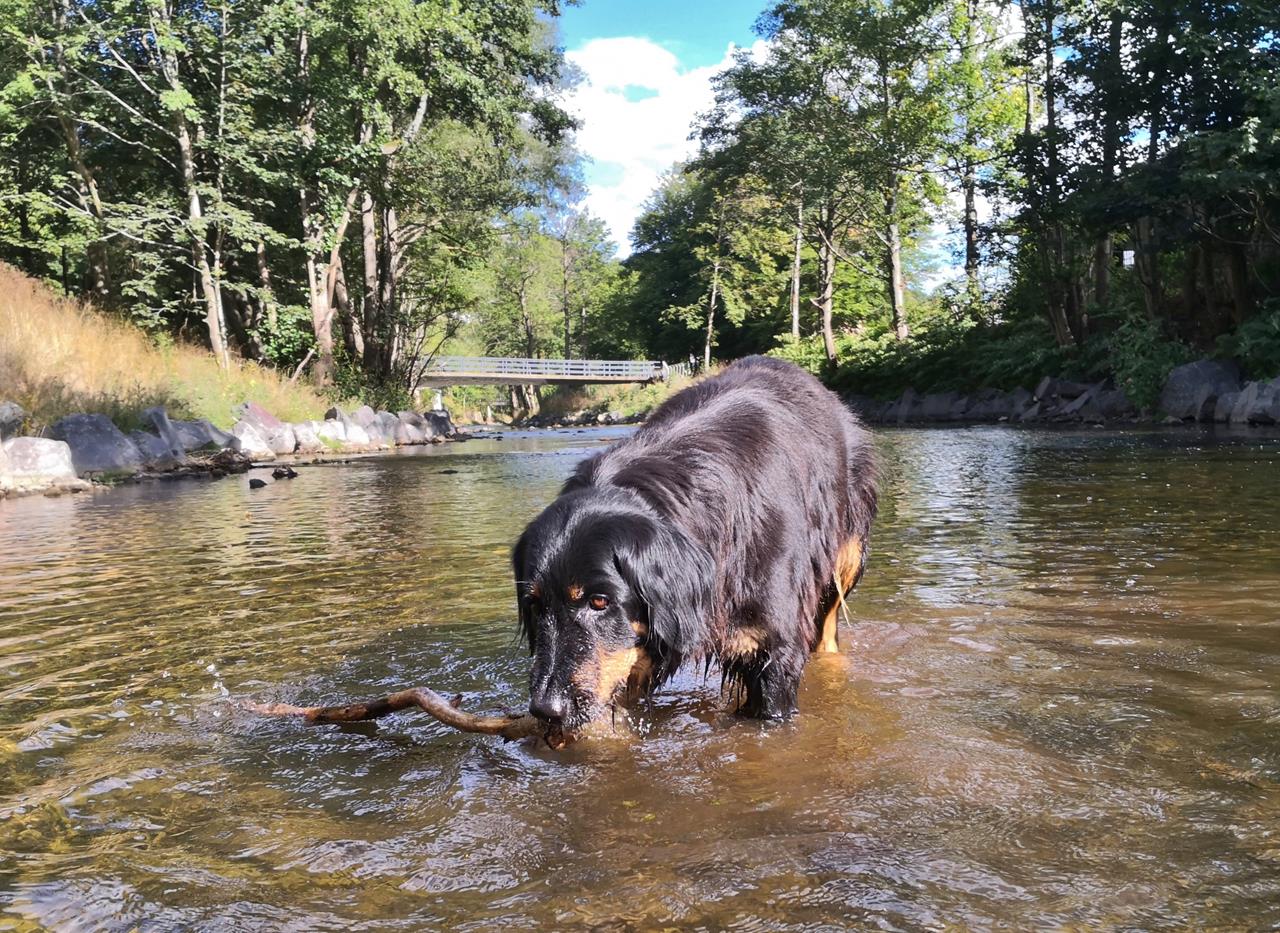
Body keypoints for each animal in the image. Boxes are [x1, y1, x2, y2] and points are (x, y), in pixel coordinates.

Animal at [512, 356, 877, 735]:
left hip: (847, 555)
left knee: (828, 627)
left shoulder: (774, 653)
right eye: (534, 604)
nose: (546, 710)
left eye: (599, 602)